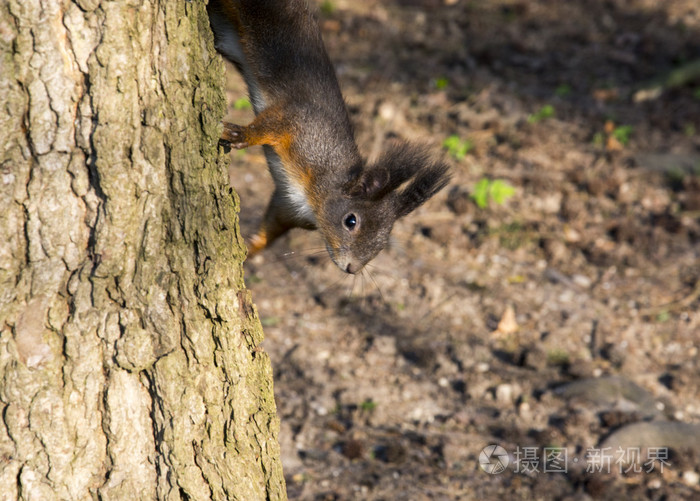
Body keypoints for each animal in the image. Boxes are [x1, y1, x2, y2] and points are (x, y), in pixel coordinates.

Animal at [206, 0, 448, 274]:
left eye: (384, 241)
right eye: (350, 221)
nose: (352, 268)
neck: (317, 195)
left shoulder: (287, 207)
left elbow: (269, 230)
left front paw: (248, 251)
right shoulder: (301, 123)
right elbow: (271, 124)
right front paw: (240, 133)